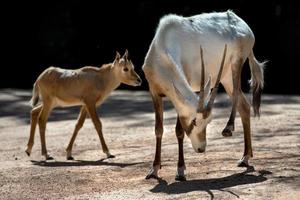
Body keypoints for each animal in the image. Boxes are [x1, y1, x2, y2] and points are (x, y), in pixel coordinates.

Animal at [143, 10, 264, 180]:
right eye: (194, 121)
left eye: (207, 122)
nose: (201, 149)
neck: (162, 50)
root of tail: (240, 22)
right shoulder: (154, 92)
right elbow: (158, 130)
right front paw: (154, 169)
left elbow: (179, 131)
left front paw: (180, 170)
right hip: (225, 77)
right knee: (244, 107)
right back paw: (245, 158)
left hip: (236, 64)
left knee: (238, 97)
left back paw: (228, 128)